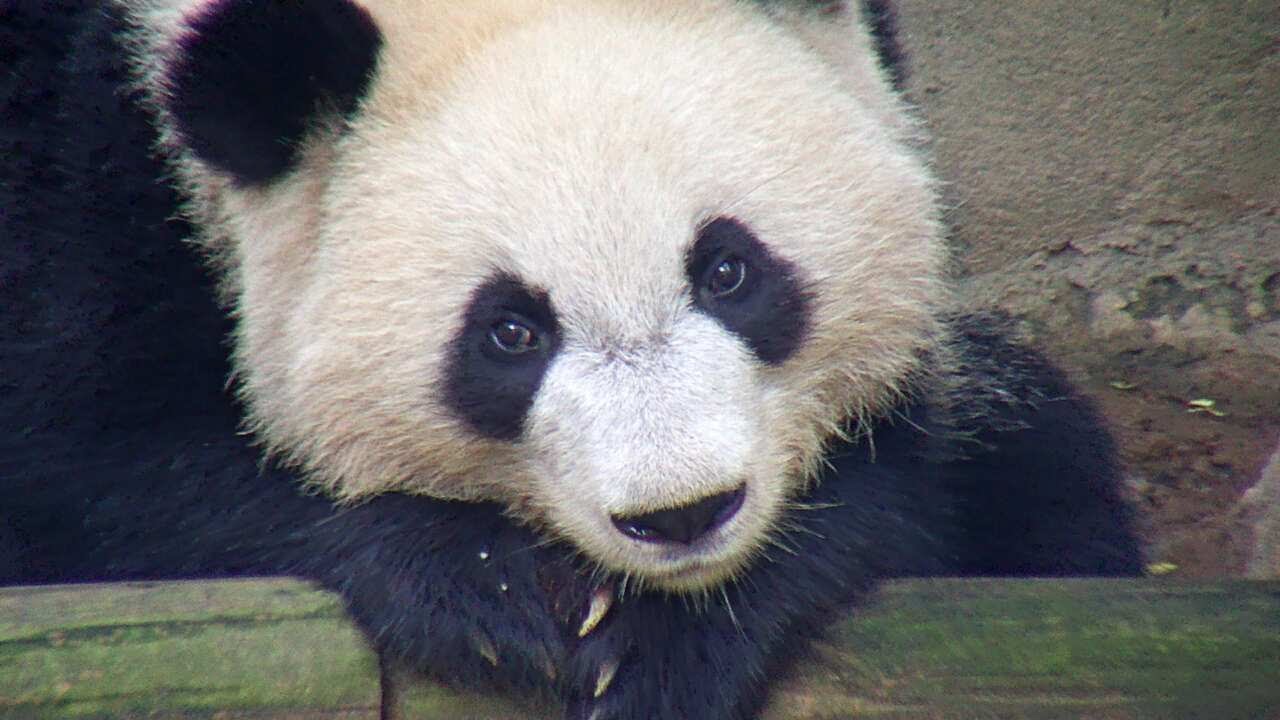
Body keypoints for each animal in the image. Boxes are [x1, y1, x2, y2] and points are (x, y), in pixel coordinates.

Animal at [0, 1, 1141, 718]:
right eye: (510, 332)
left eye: (727, 271)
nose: (680, 515)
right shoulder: (79, 207)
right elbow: (96, 496)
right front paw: (485, 590)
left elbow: (943, 469)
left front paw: (663, 642)